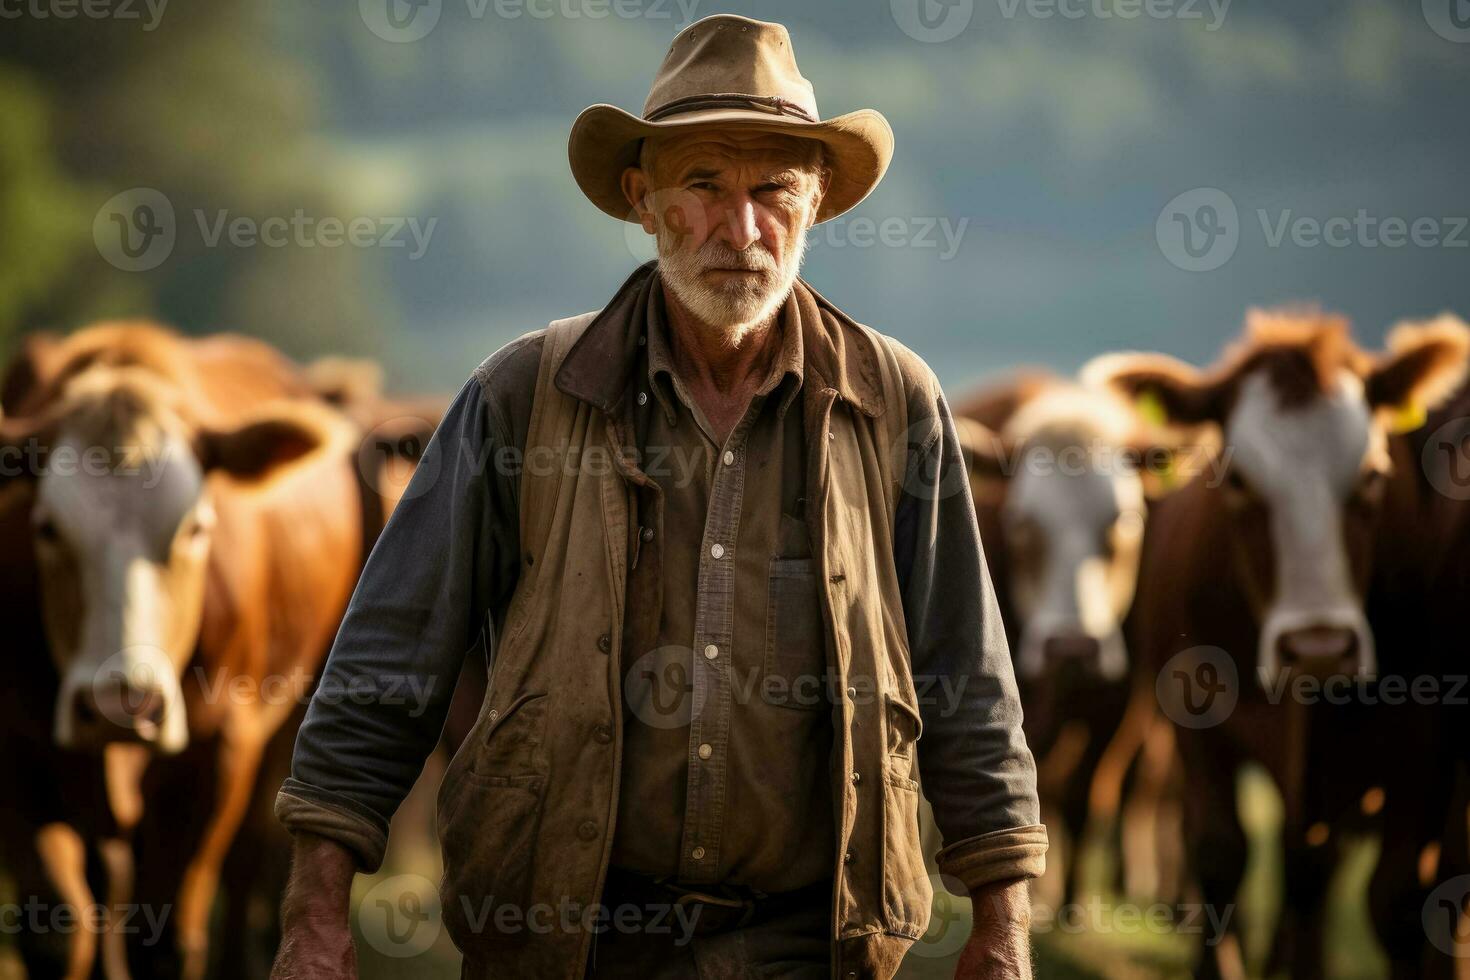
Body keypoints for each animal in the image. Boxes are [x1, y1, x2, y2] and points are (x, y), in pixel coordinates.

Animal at [1087, 312, 1464, 980]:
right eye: (1237, 479)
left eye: (1373, 474)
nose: (1319, 647)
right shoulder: (1196, 715)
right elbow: (1219, 853)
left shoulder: (1420, 740)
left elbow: (1395, 899)